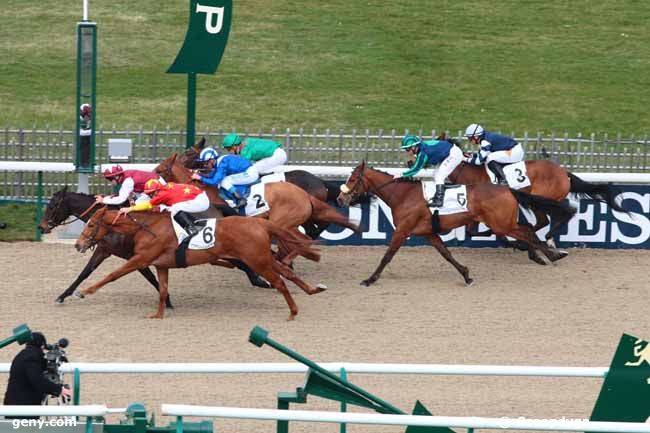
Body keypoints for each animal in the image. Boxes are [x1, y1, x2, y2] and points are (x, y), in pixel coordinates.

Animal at [73, 208, 324, 318]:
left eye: (91, 224)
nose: (78, 244)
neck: (147, 227)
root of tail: (260, 223)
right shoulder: (161, 265)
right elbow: (162, 290)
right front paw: (158, 314)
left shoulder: (140, 259)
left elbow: (113, 274)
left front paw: (84, 291)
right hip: (262, 258)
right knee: (287, 273)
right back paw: (313, 289)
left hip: (257, 260)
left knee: (280, 282)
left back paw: (293, 311)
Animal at [336, 160, 576, 286]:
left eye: (352, 179)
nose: (340, 199)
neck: (403, 195)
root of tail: (507, 189)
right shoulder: (428, 233)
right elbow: (446, 254)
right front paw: (466, 274)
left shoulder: (402, 231)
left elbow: (387, 256)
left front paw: (370, 279)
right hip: (503, 222)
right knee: (527, 230)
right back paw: (544, 253)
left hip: (503, 223)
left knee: (526, 232)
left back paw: (550, 254)